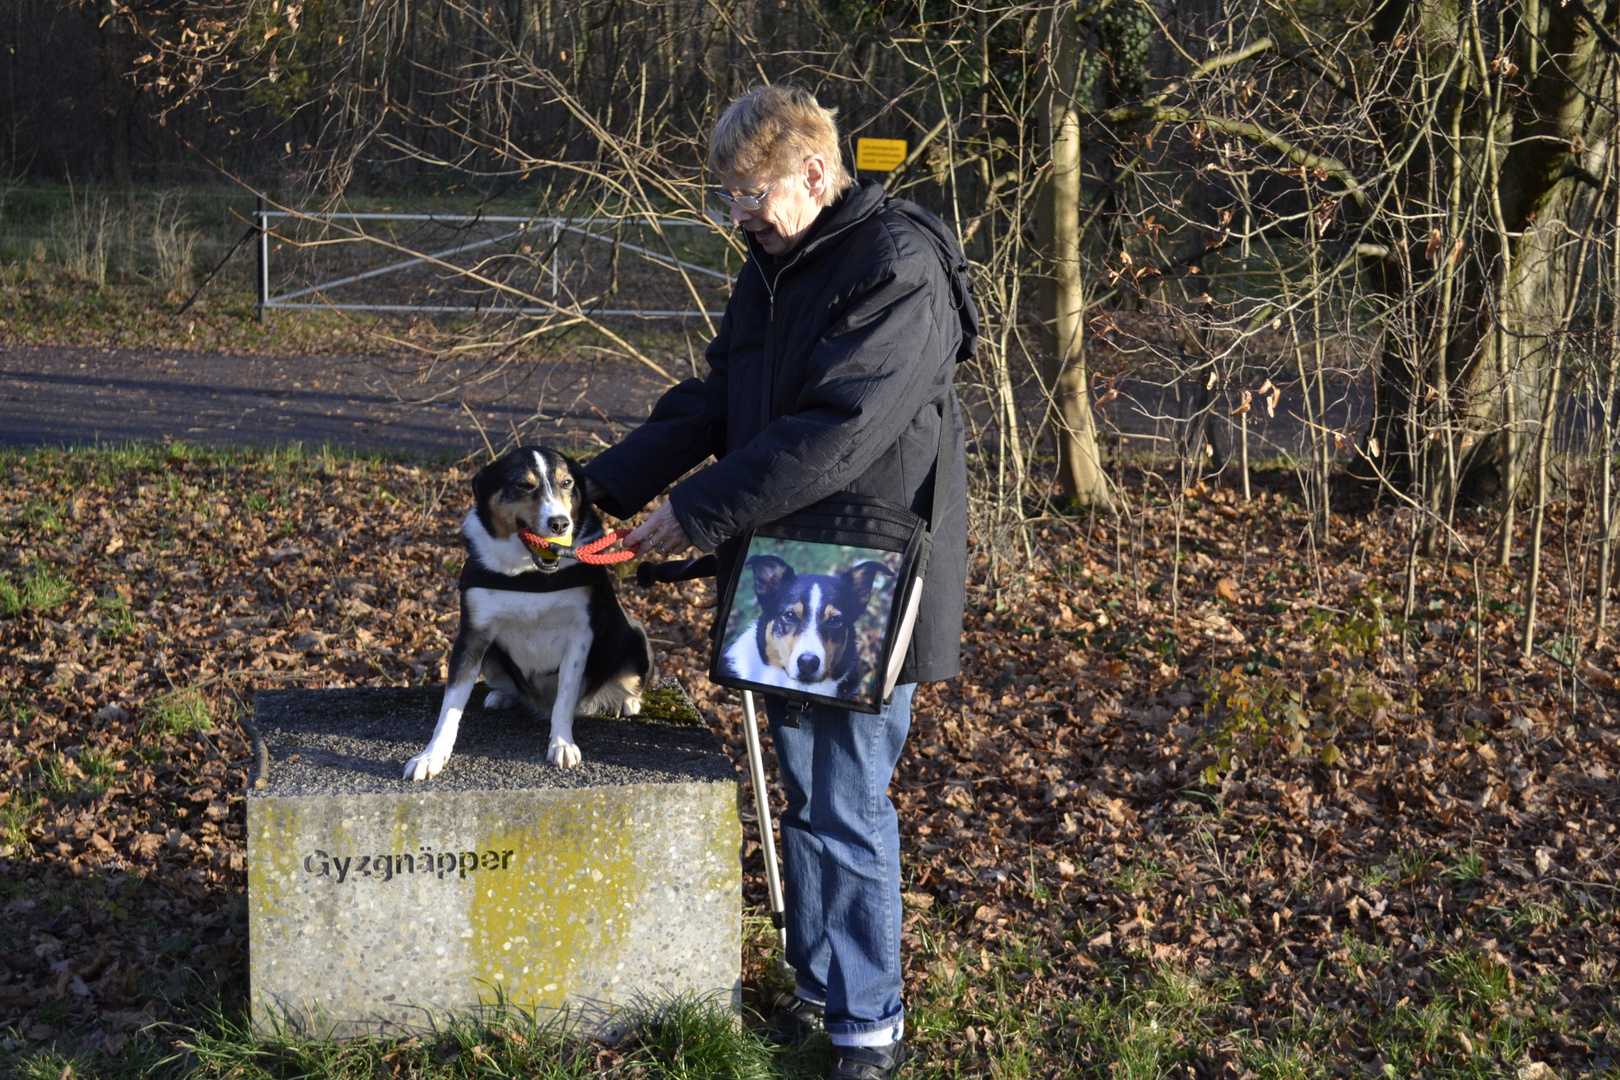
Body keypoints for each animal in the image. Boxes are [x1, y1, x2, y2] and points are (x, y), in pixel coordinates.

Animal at [405, 446, 651, 777]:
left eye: (567, 483)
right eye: (523, 485)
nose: (559, 523)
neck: (528, 573)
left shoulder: (579, 636)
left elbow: (564, 699)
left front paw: (561, 743)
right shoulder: (472, 636)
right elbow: (451, 705)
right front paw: (431, 755)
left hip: (638, 638)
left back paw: (626, 700)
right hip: (491, 657)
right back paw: (503, 694)